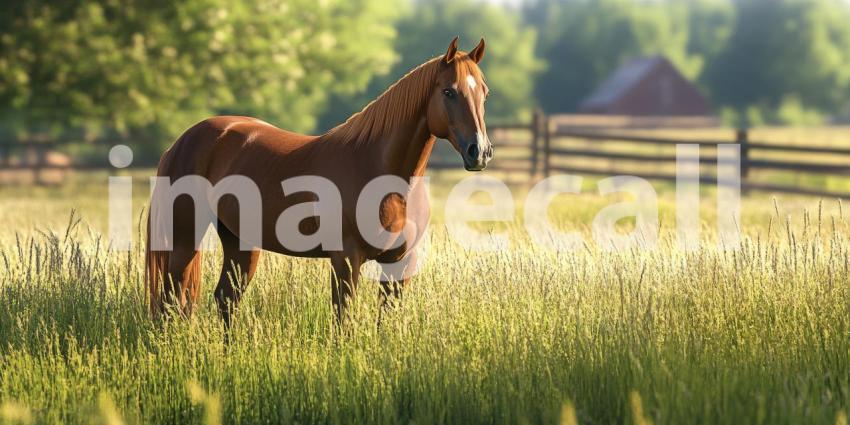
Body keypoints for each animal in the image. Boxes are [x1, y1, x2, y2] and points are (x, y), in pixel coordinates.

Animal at [145, 37, 492, 327]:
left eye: (484, 91)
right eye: (448, 91)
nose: (479, 151)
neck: (384, 173)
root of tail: (183, 141)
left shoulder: (399, 265)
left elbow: (385, 323)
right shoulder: (346, 260)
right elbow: (343, 321)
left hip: (239, 243)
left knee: (224, 300)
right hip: (184, 241)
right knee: (171, 302)